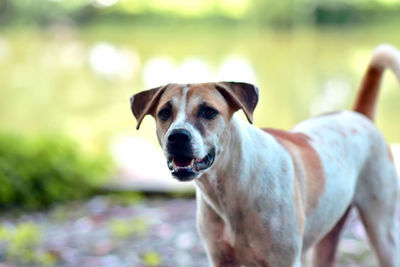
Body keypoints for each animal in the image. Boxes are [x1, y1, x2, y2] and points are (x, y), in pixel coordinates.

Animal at [130, 45, 400, 266]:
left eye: (208, 112)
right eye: (165, 113)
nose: (177, 137)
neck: (232, 187)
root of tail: (358, 115)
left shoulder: (284, 261)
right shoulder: (220, 258)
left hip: (383, 233)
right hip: (326, 239)